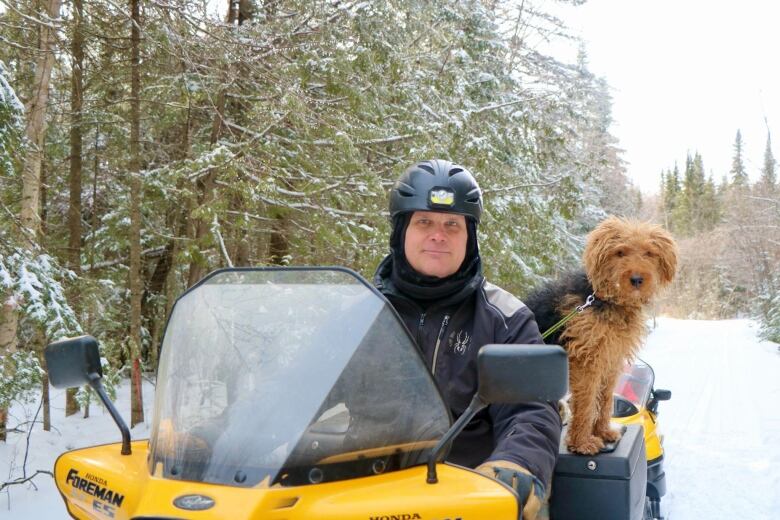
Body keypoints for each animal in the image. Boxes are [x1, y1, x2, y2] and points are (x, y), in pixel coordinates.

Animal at [528, 217, 672, 452]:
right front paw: (582, 443)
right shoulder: (586, 363)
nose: (637, 279)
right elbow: (587, 405)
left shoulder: (610, 359)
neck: (604, 299)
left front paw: (604, 432)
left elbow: (604, 401)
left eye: (649, 253)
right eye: (620, 252)